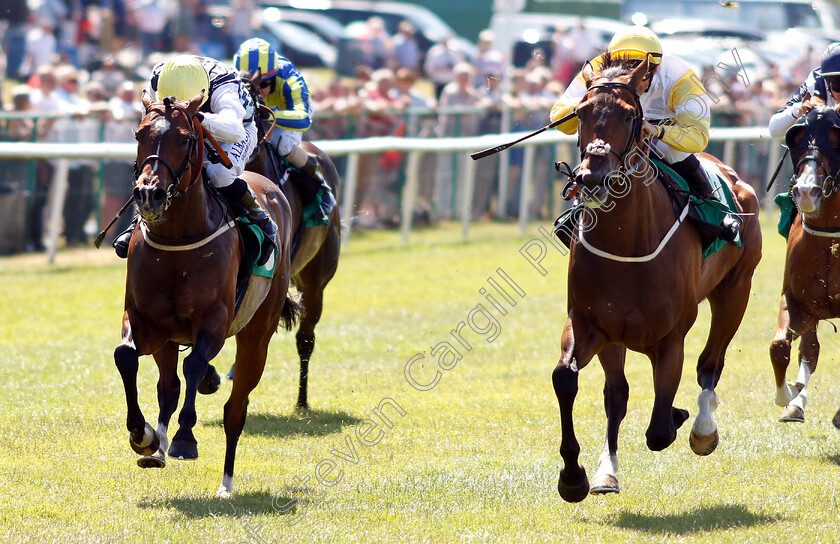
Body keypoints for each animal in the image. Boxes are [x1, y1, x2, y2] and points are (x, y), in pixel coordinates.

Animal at [113, 91, 298, 496]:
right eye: (139, 134)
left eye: (185, 139)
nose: (148, 194)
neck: (177, 241)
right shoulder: (147, 320)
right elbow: (126, 356)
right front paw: (142, 436)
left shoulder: (214, 321)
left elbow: (195, 365)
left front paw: (185, 439)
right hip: (170, 338)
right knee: (168, 387)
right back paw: (157, 447)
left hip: (256, 336)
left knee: (235, 410)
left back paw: (225, 483)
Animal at [556, 55, 764, 502]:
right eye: (580, 112)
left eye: (629, 115)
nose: (592, 178)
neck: (627, 244)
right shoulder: (591, 323)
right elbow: (569, 379)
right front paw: (574, 476)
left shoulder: (670, 337)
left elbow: (659, 430)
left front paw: (681, 415)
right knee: (617, 395)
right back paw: (607, 472)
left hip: (735, 291)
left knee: (710, 365)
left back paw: (702, 429)